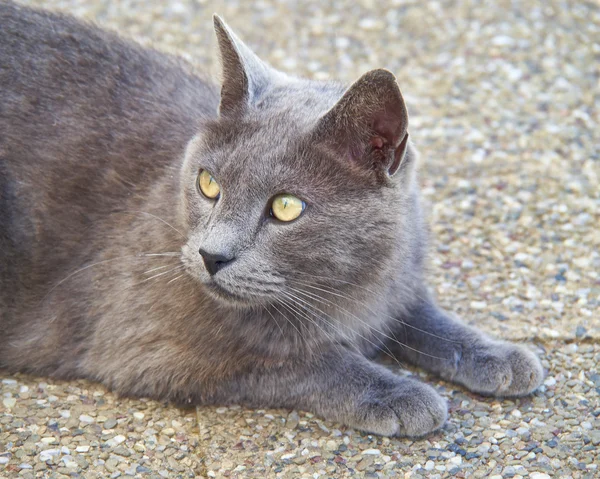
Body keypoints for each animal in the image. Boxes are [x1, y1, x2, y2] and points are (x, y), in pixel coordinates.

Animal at [0, 2, 544, 438]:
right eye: (208, 184)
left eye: (286, 207)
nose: (210, 255)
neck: (342, 292)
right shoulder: (150, 345)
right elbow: (301, 359)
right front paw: (397, 394)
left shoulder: (397, 278)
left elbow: (422, 315)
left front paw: (498, 355)